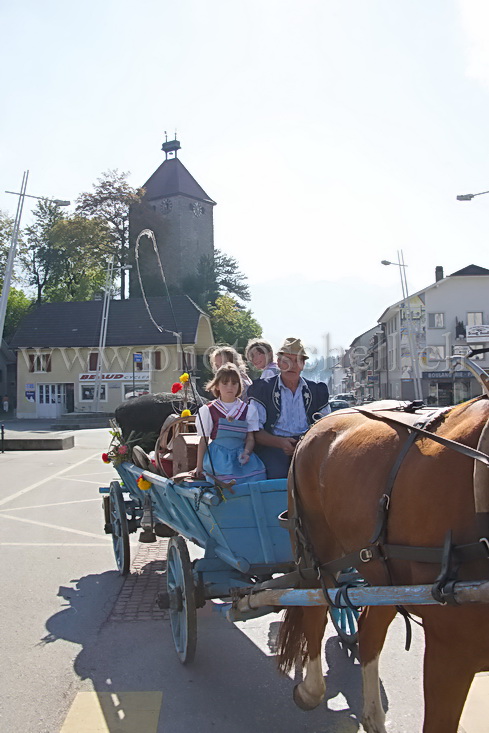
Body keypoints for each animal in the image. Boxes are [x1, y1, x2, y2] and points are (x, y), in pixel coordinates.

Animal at [276, 394, 488, 732]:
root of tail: (317, 423)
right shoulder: (449, 652)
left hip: (382, 574)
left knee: (368, 630)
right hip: (314, 554)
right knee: (315, 611)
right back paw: (311, 691)